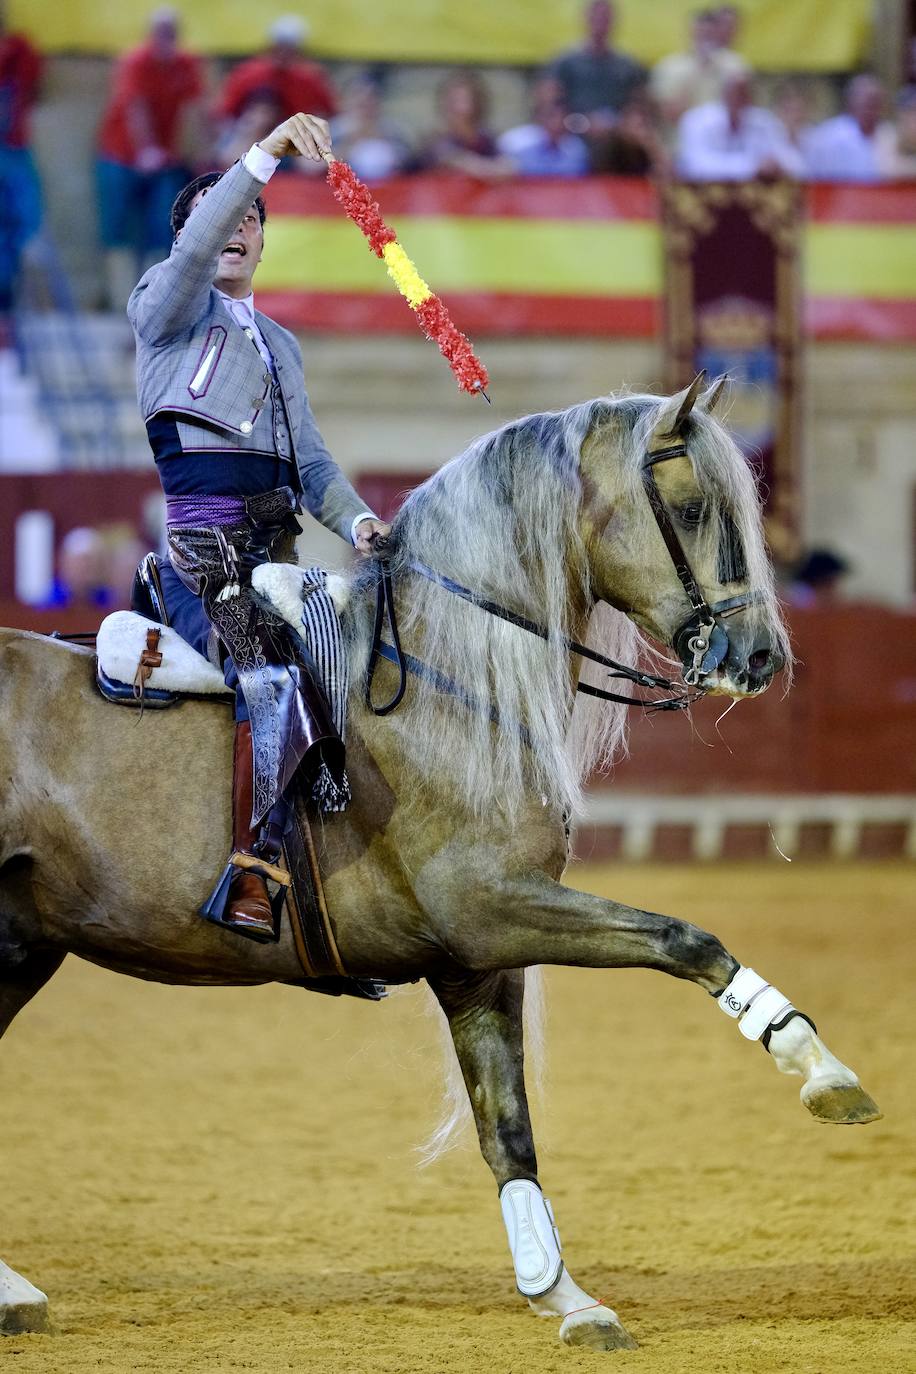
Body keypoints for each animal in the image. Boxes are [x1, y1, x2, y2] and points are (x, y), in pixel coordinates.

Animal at [0, 379, 878, 1352]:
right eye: (691, 506)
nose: (760, 657)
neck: (445, 684)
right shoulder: (492, 908)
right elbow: (688, 940)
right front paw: (819, 1066)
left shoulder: (477, 961)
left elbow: (509, 1129)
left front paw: (564, 1296)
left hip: (19, 949)